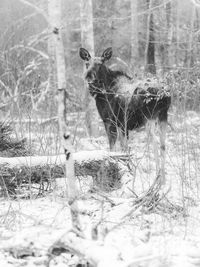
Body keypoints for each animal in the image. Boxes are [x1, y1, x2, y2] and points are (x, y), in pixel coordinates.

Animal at [79, 47, 170, 183]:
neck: (101, 94)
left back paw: (157, 179)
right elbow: (124, 148)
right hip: (163, 116)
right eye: (87, 63)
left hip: (149, 118)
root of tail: (163, 93)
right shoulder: (123, 125)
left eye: (100, 64)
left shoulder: (109, 121)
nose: (89, 78)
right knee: (163, 145)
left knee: (155, 144)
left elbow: (113, 148)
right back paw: (163, 181)